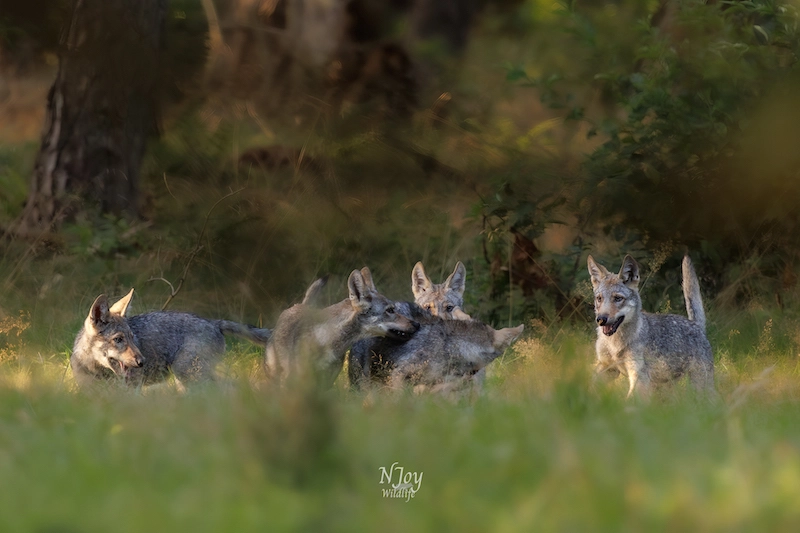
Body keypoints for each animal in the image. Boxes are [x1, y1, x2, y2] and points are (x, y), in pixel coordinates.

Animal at [69, 288, 268, 388]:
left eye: (133, 337)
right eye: (118, 339)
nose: (142, 362)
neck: (95, 369)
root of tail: (213, 322)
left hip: (187, 374)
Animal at [588, 255, 712, 400]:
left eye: (618, 298)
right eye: (599, 299)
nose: (601, 319)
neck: (614, 344)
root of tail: (696, 324)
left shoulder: (638, 376)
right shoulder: (608, 367)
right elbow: (588, 384)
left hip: (700, 386)